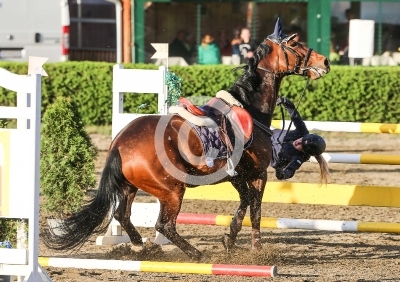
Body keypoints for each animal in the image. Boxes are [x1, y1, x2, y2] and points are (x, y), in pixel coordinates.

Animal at [45, 18, 330, 260]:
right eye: (294, 43)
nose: (326, 62)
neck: (249, 106)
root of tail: (119, 144)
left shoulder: (237, 176)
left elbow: (244, 204)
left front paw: (229, 237)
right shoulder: (258, 174)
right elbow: (256, 210)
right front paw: (257, 250)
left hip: (130, 186)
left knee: (122, 214)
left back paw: (140, 246)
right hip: (171, 190)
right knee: (164, 225)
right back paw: (195, 254)